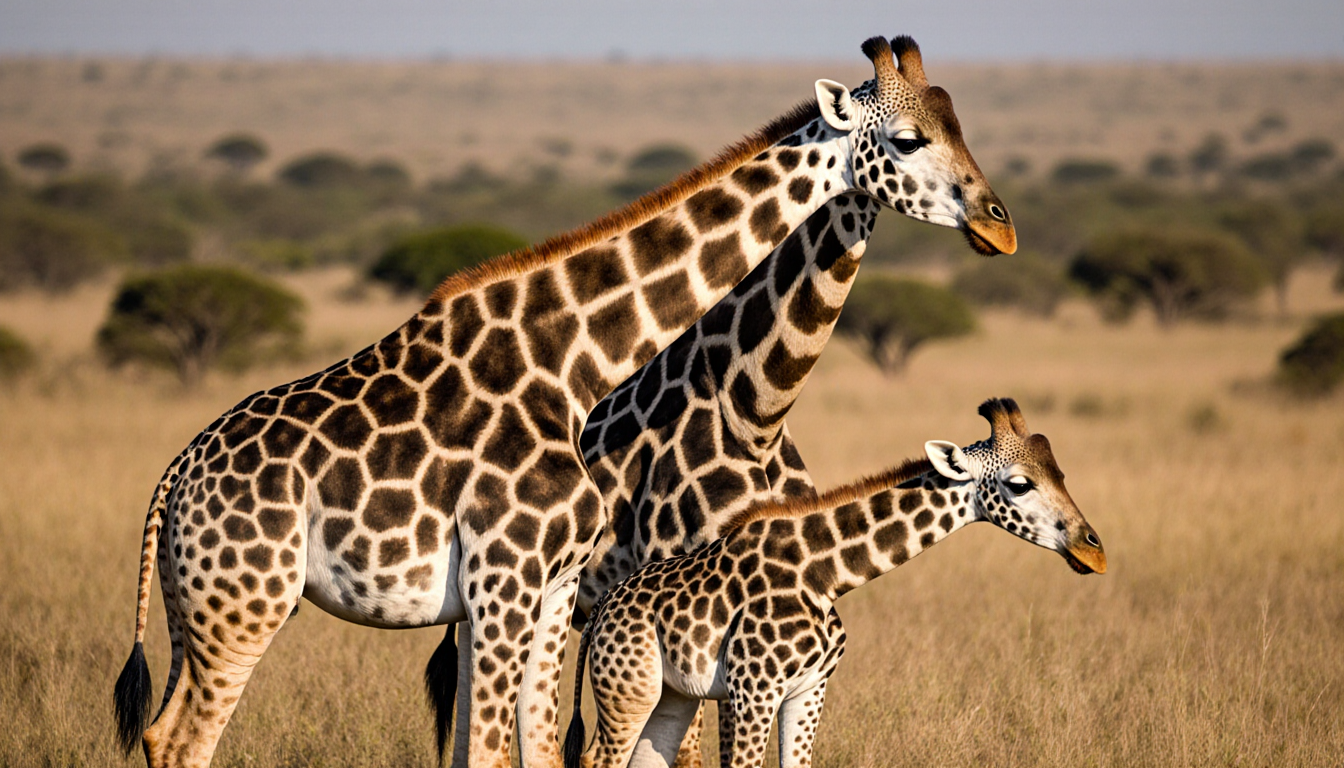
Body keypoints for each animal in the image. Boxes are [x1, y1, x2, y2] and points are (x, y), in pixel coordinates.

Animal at [113, 35, 1015, 768]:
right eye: (908, 139)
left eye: (960, 127)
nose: (999, 225)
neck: (572, 365)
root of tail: (173, 477)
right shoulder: (514, 579)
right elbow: (502, 752)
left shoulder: (543, 594)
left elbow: (540, 749)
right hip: (245, 602)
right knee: (182, 738)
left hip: (207, 610)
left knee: (164, 731)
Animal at [563, 398, 1106, 768]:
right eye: (1019, 483)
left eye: (1061, 472)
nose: (1093, 551)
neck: (825, 576)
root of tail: (601, 610)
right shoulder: (753, 689)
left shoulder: (810, 689)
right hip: (626, 687)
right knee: (597, 760)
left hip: (670, 694)